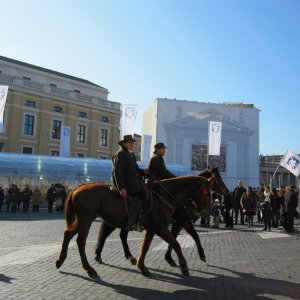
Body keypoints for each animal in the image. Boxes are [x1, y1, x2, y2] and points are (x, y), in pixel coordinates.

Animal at [56, 176, 211, 276]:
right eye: (208, 192)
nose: (206, 212)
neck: (163, 196)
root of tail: (78, 188)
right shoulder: (160, 227)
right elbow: (175, 243)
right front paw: (184, 267)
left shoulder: (153, 229)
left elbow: (145, 247)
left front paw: (142, 266)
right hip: (86, 220)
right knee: (81, 241)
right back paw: (89, 268)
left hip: (84, 221)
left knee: (68, 234)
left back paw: (61, 260)